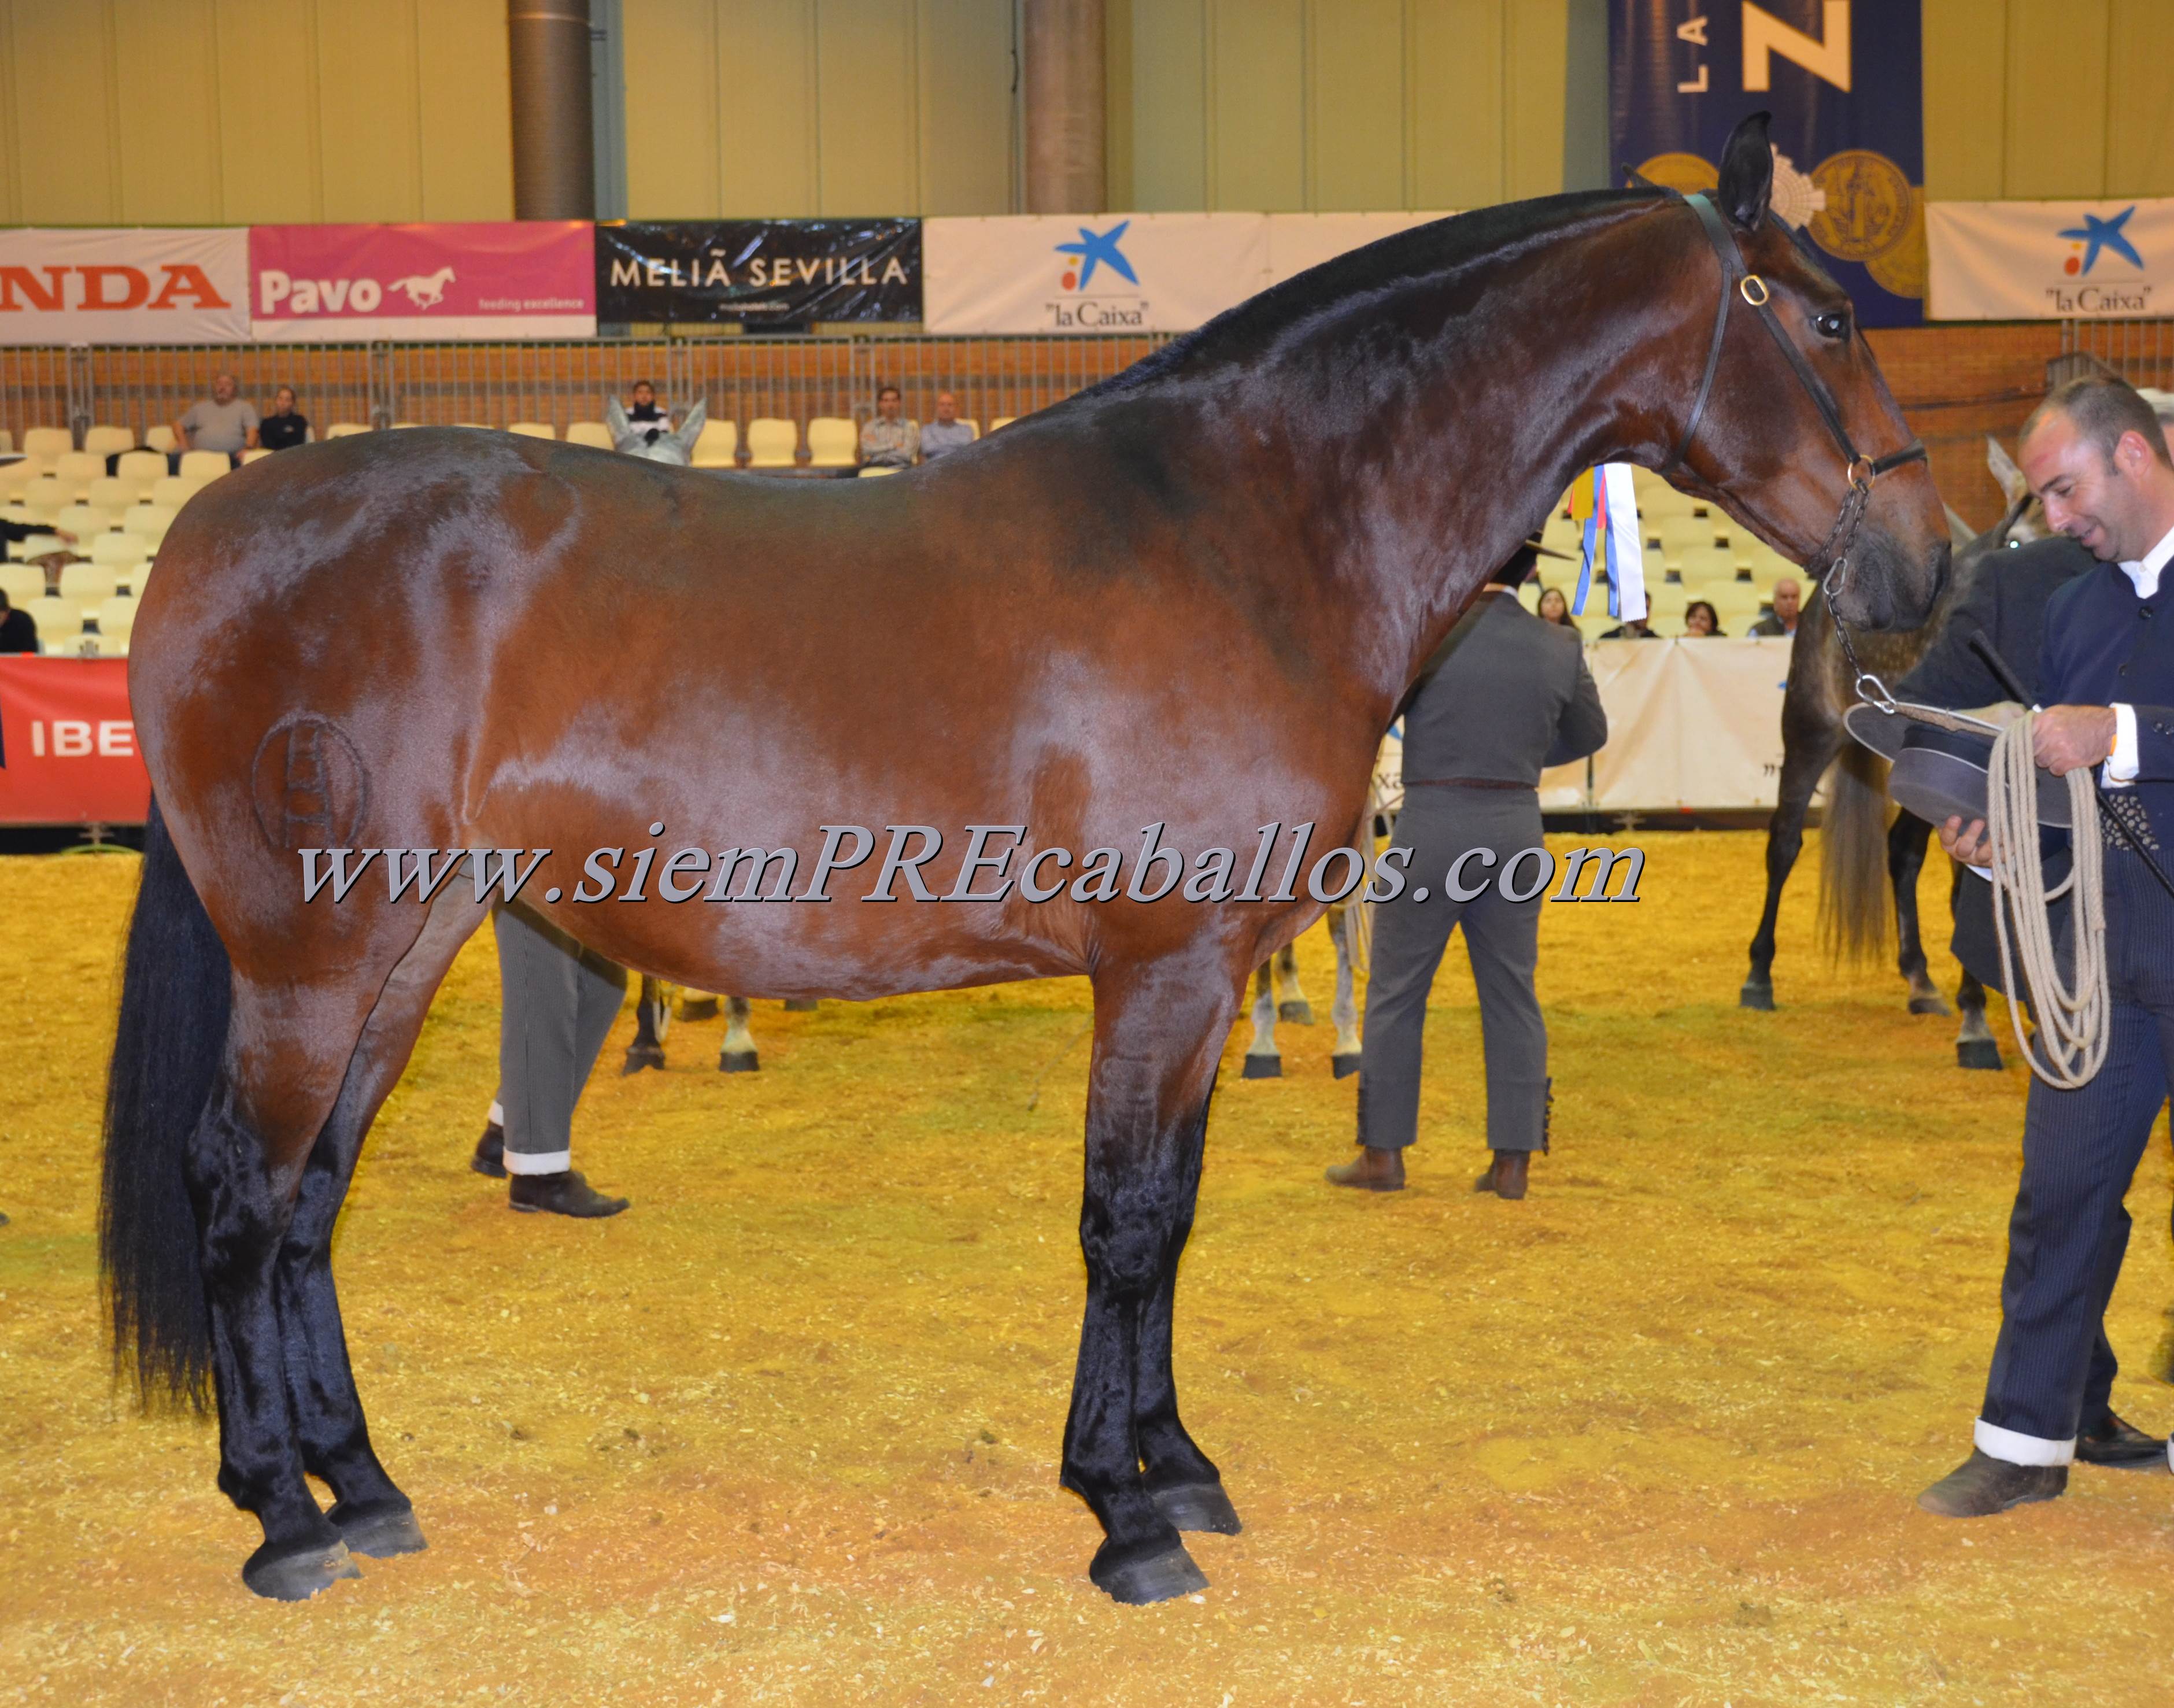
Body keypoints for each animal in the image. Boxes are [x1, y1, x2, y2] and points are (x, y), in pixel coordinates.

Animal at [102, 113, 1947, 1608]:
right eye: (1829, 317)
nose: (1927, 564)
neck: (1250, 525)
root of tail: (211, 528)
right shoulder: (1162, 969)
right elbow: (1121, 1222)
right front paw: (1122, 1519)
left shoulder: (1205, 982)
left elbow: (1173, 1220)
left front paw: (1177, 1468)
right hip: (311, 962)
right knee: (243, 1188)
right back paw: (282, 1518)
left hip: (402, 953)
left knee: (312, 1201)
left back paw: (364, 1486)